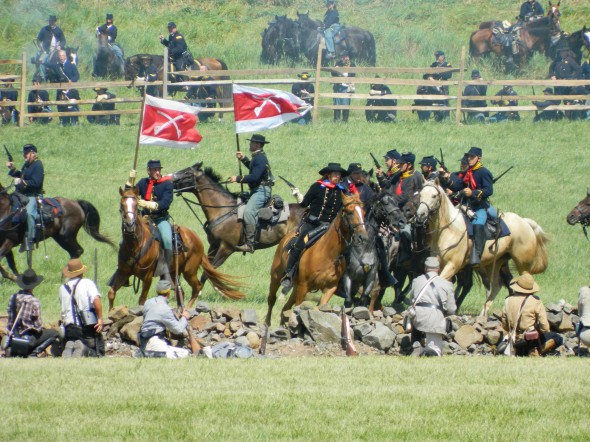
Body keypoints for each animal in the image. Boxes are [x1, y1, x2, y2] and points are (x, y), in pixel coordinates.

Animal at [107, 188, 246, 310]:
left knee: (197, 287)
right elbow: (111, 293)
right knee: (182, 292)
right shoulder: (123, 273)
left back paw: (187, 309)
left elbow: (141, 300)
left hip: (189, 271)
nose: (130, 225)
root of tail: (196, 238)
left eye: (136, 205)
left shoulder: (147, 277)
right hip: (175, 273)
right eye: (122, 205)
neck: (135, 245)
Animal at [266, 193, 368, 324]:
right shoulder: (304, 286)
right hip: (276, 277)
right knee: (271, 299)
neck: (328, 255)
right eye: (350, 212)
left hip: (295, 286)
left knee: (285, 308)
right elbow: (298, 309)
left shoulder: (329, 288)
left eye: (363, 212)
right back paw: (267, 324)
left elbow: (320, 308)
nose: (363, 237)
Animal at [416, 183, 552, 318]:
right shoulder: (439, 263)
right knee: (497, 285)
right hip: (495, 263)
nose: (420, 215)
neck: (449, 229)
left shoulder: (453, 265)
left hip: (523, 265)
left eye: (434, 196)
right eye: (420, 194)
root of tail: (525, 222)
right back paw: (483, 313)